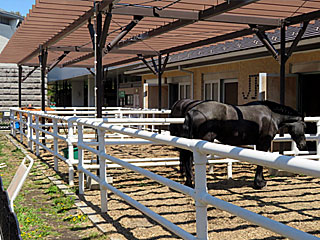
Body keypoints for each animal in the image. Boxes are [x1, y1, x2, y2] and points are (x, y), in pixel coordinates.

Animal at [170, 99, 308, 189]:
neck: (271, 115)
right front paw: (259, 183)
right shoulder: (263, 143)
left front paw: (260, 181)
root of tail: (193, 111)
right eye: (304, 125)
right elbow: (260, 164)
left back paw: (189, 183)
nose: (303, 145)